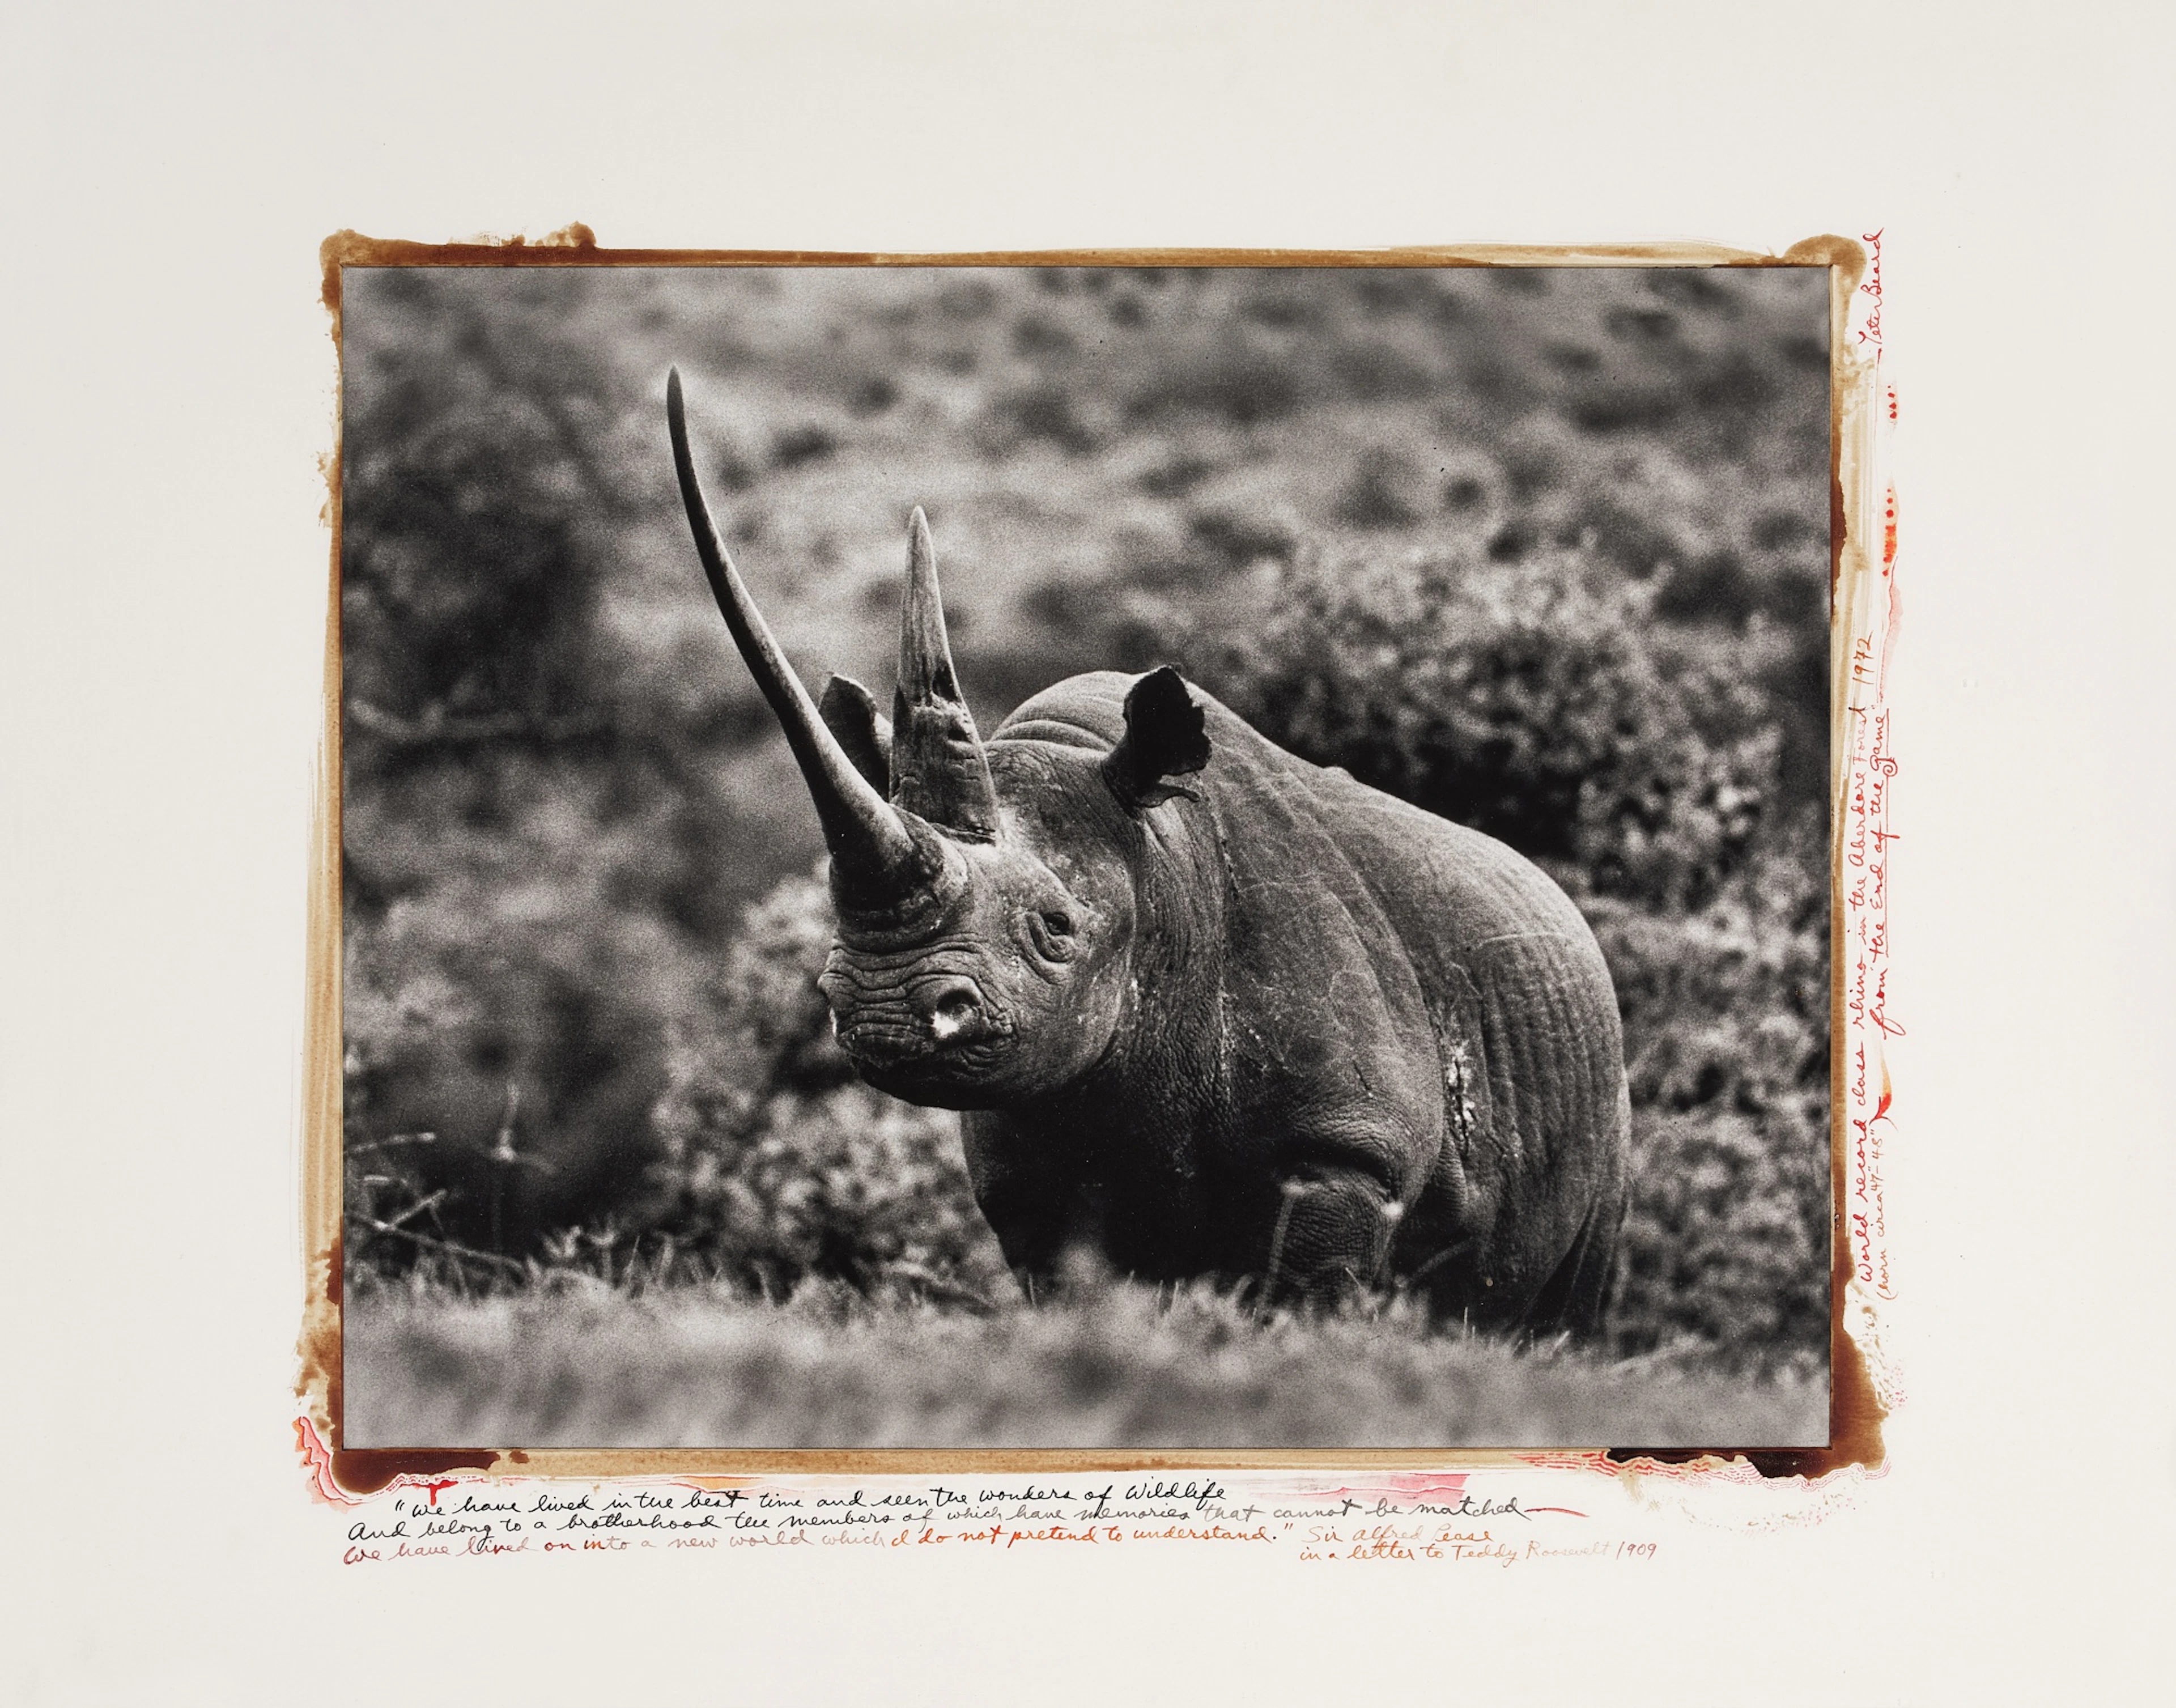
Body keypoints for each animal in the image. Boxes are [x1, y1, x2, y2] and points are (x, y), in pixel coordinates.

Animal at [666, 370, 1631, 1337]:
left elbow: (1305, 1293)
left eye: (1056, 927)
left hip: (1603, 1074)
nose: (880, 1008)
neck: (1161, 868)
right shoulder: (1028, 1176)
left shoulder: (1345, 1152)